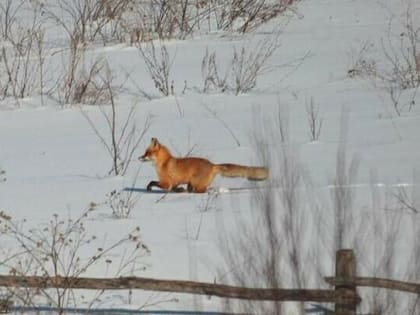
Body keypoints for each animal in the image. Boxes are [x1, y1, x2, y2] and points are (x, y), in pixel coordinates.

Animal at [138, 138, 270, 193]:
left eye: (147, 153)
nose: (139, 158)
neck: (164, 163)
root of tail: (213, 165)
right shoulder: (174, 182)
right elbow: (176, 188)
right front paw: (180, 190)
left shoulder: (166, 183)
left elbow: (151, 182)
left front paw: (148, 188)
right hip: (192, 183)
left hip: (196, 184)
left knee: (202, 191)